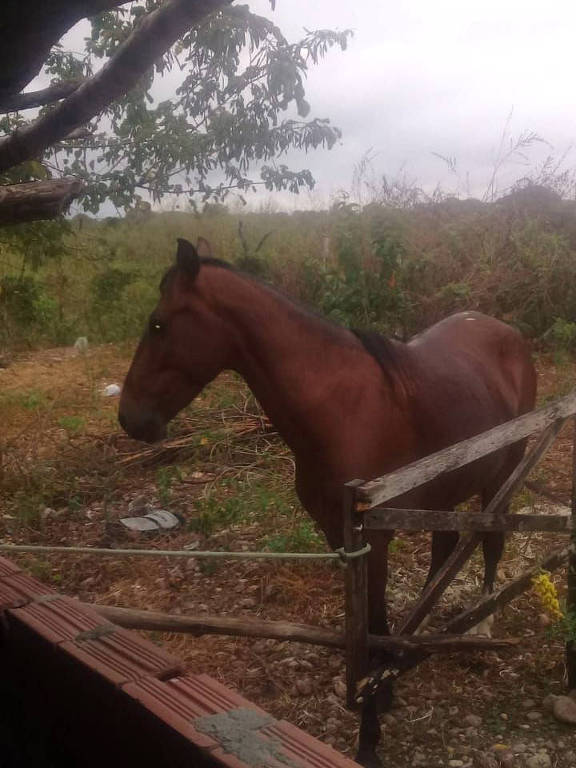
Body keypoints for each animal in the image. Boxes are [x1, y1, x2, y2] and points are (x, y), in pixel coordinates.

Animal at [119, 237, 536, 764]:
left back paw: (482, 626)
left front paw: (370, 736)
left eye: (158, 324)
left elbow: (371, 624)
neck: (340, 408)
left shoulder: (373, 541)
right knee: (444, 548)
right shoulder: (339, 537)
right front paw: (383, 687)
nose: (129, 418)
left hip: (503, 472)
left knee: (492, 540)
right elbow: (361, 630)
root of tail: (507, 332)